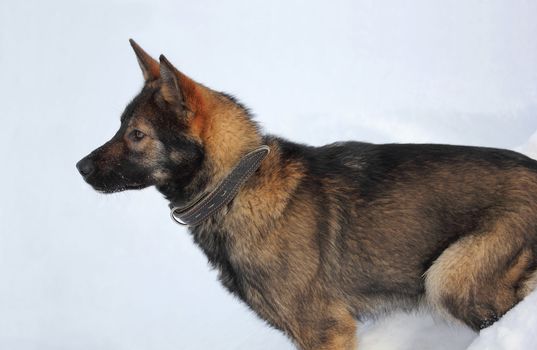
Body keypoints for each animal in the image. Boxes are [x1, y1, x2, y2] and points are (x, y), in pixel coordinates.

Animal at [76, 39, 537, 348]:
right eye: (120, 126)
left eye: (137, 135)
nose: (80, 168)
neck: (236, 184)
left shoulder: (325, 328)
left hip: (450, 277)